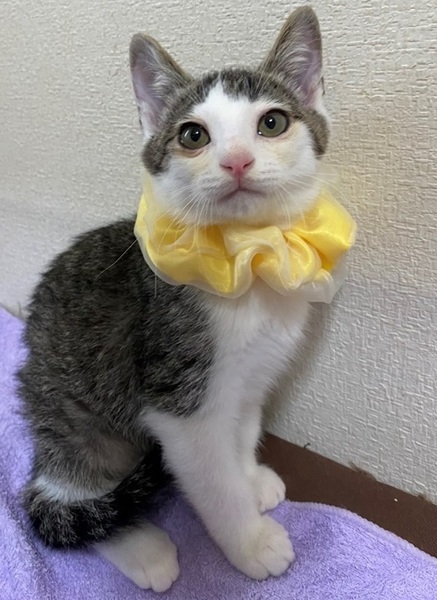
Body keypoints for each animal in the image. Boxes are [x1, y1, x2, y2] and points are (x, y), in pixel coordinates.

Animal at [18, 6, 329, 593]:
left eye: (272, 123)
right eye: (192, 135)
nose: (236, 161)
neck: (244, 259)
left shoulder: (251, 375)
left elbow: (242, 429)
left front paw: (251, 479)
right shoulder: (177, 400)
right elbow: (213, 479)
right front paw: (251, 541)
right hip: (77, 412)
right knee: (60, 497)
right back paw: (144, 548)